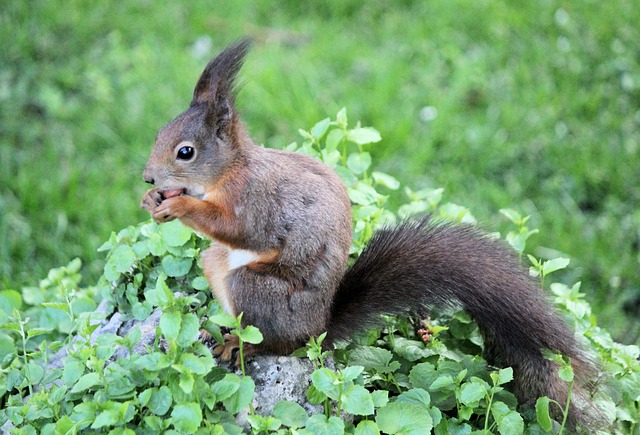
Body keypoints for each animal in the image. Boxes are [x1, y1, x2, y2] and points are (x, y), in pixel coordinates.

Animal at [140, 39, 600, 428]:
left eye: (186, 152)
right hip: (214, 263)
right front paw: (152, 201)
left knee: (277, 343)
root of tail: (319, 329)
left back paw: (241, 345)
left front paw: (179, 205)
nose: (147, 178)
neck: (229, 172)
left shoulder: (256, 201)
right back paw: (217, 332)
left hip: (257, 290)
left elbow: (242, 230)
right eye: (158, 132)